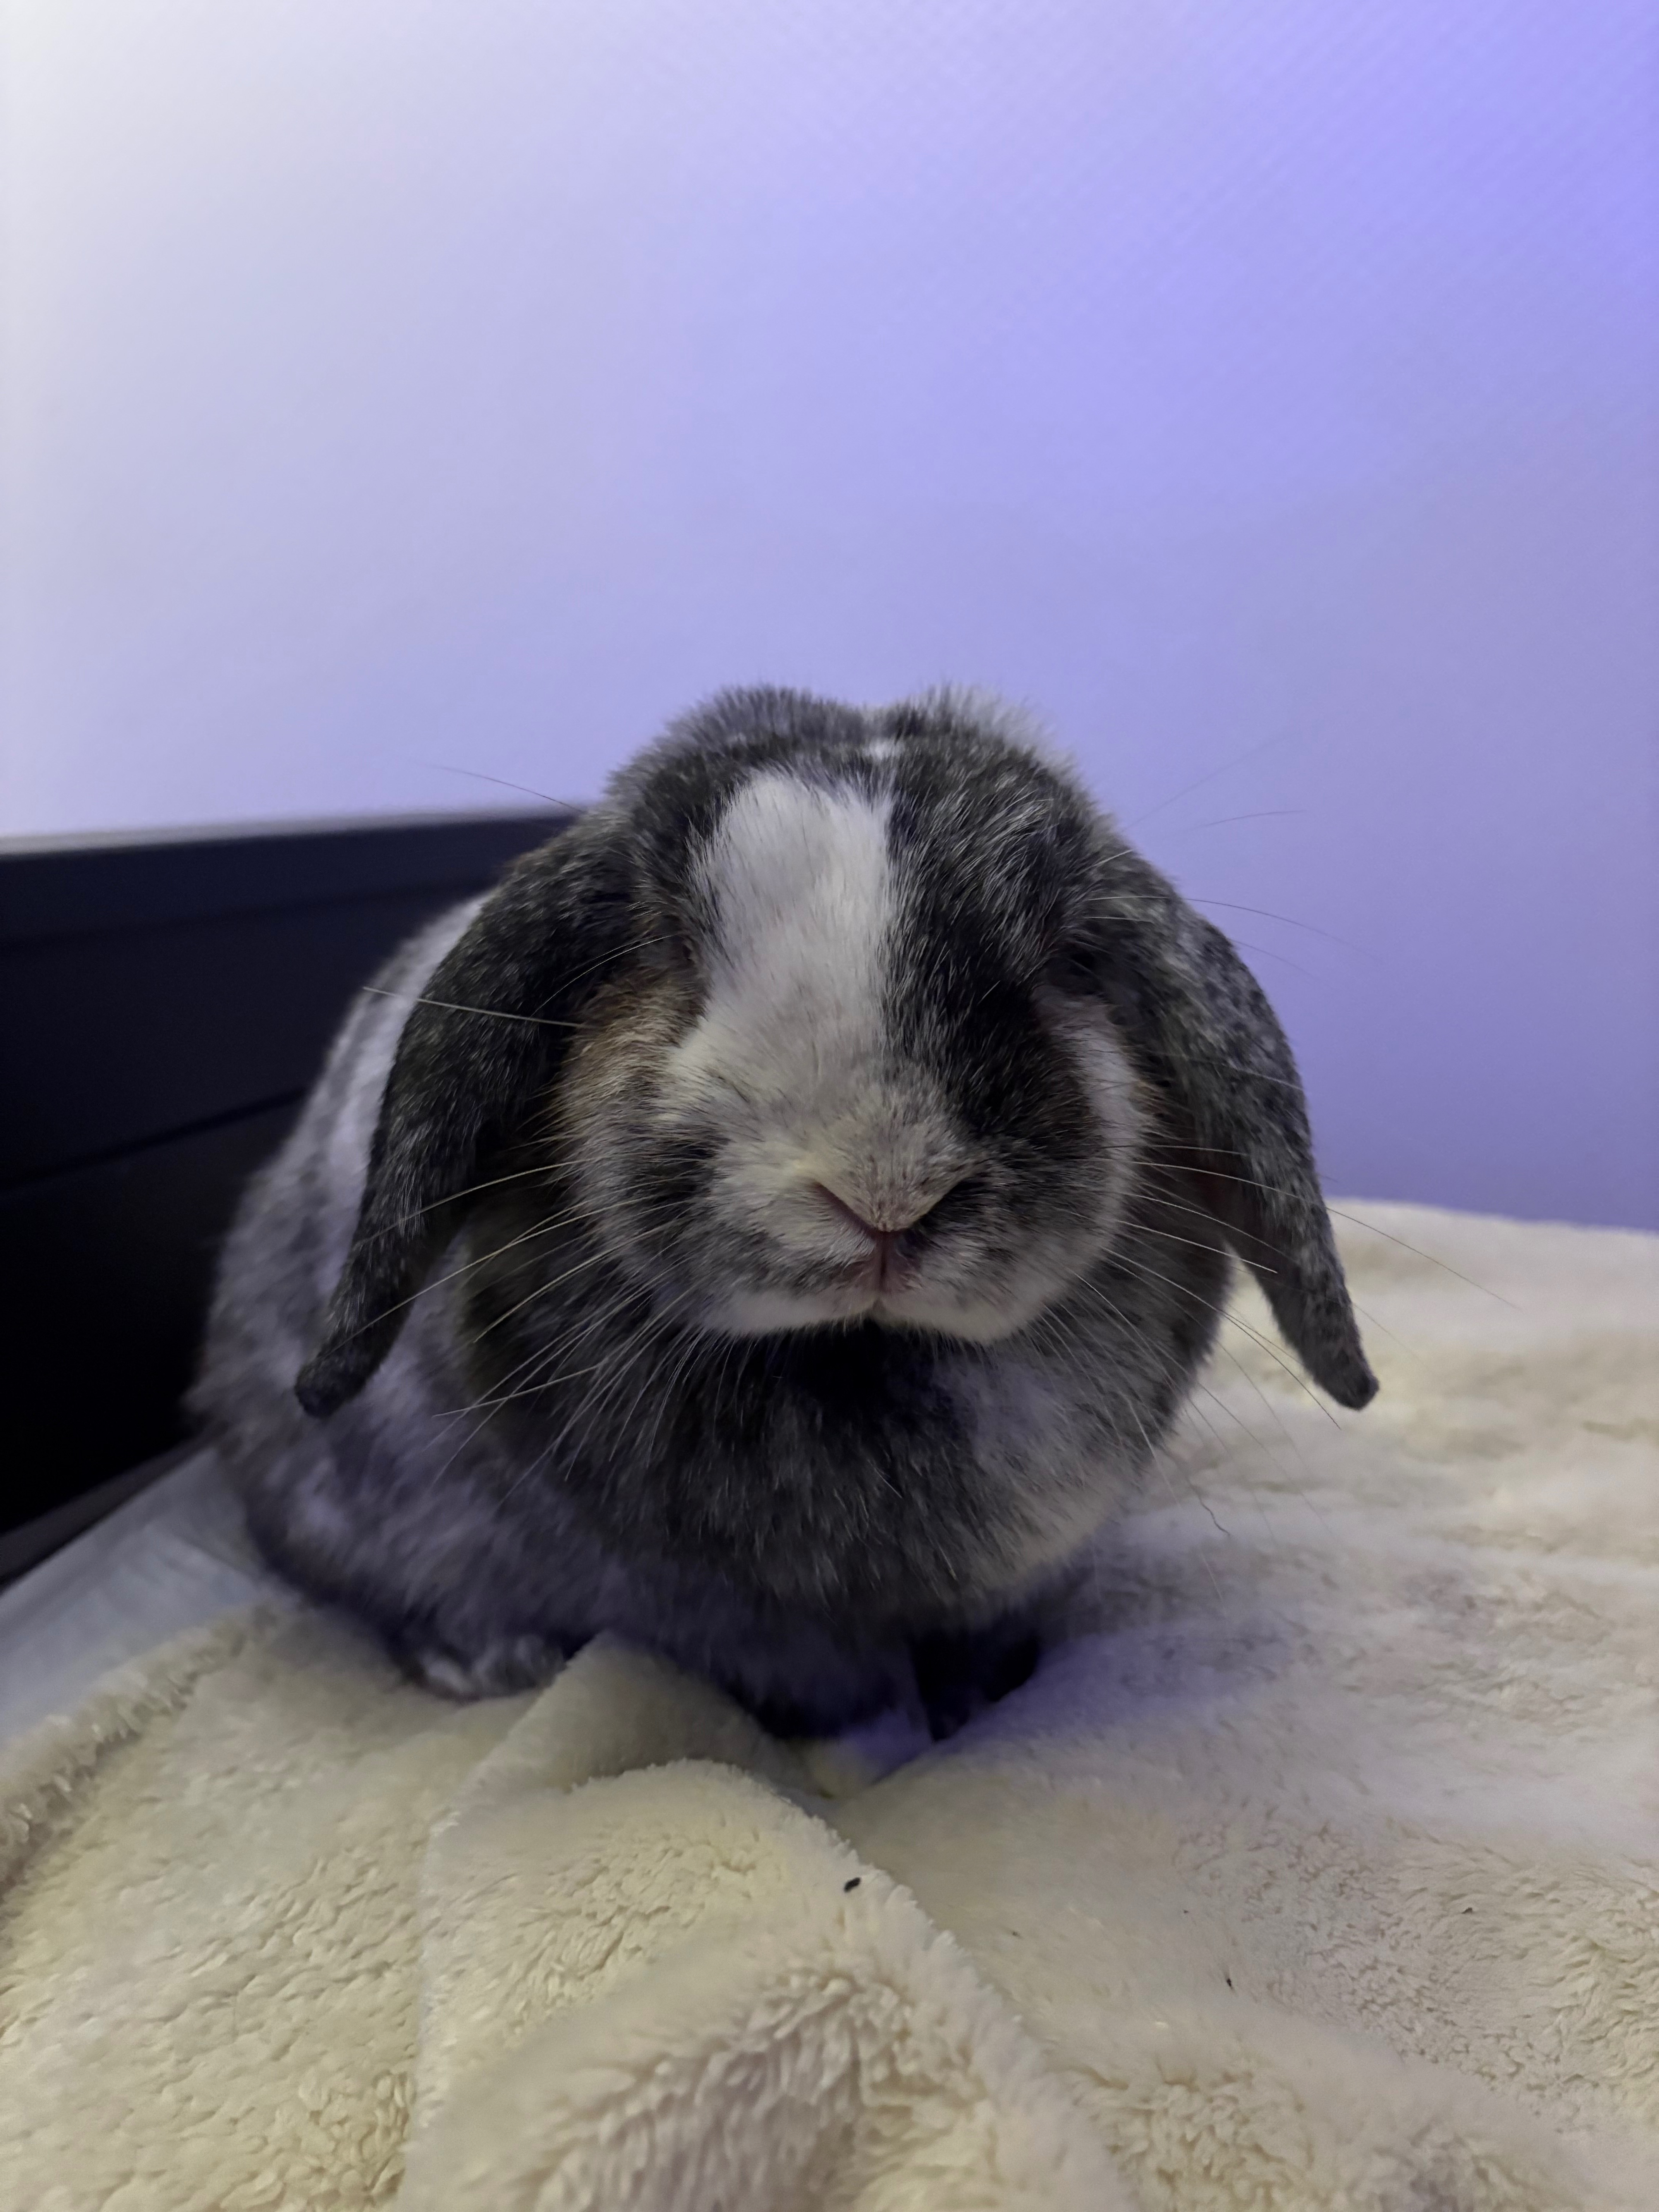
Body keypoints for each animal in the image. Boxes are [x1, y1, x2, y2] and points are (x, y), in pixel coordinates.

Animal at [192, 685, 1376, 1738]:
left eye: (1068, 957)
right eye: (667, 943)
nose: (885, 1187)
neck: (865, 1359)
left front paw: (977, 1706)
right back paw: (489, 1664)